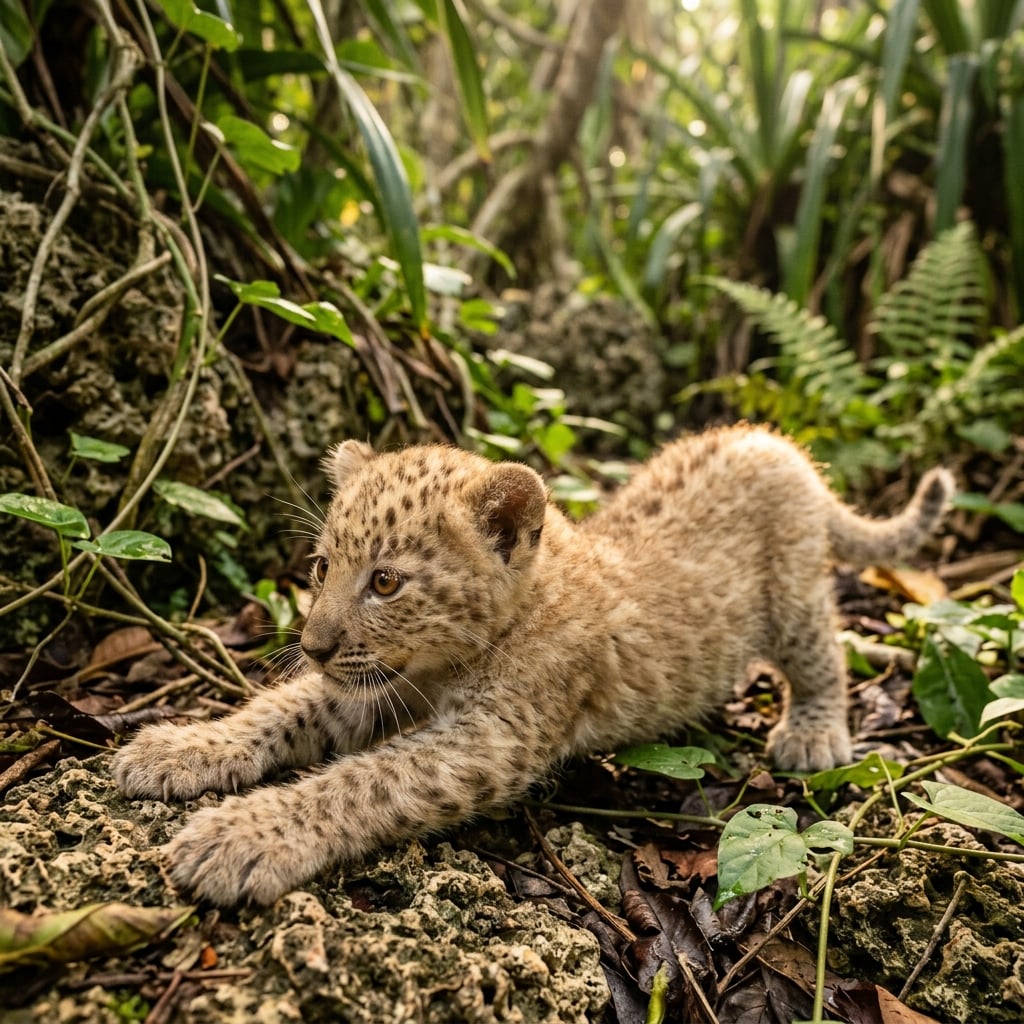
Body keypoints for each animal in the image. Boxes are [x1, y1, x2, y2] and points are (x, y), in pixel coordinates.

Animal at [111, 424, 954, 906]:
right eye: (321, 569)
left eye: (384, 583)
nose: (313, 646)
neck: (443, 664)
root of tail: (776, 443)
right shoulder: (373, 687)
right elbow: (280, 711)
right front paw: (176, 748)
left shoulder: (491, 739)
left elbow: (360, 783)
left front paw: (240, 839)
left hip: (794, 593)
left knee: (824, 652)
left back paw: (812, 735)